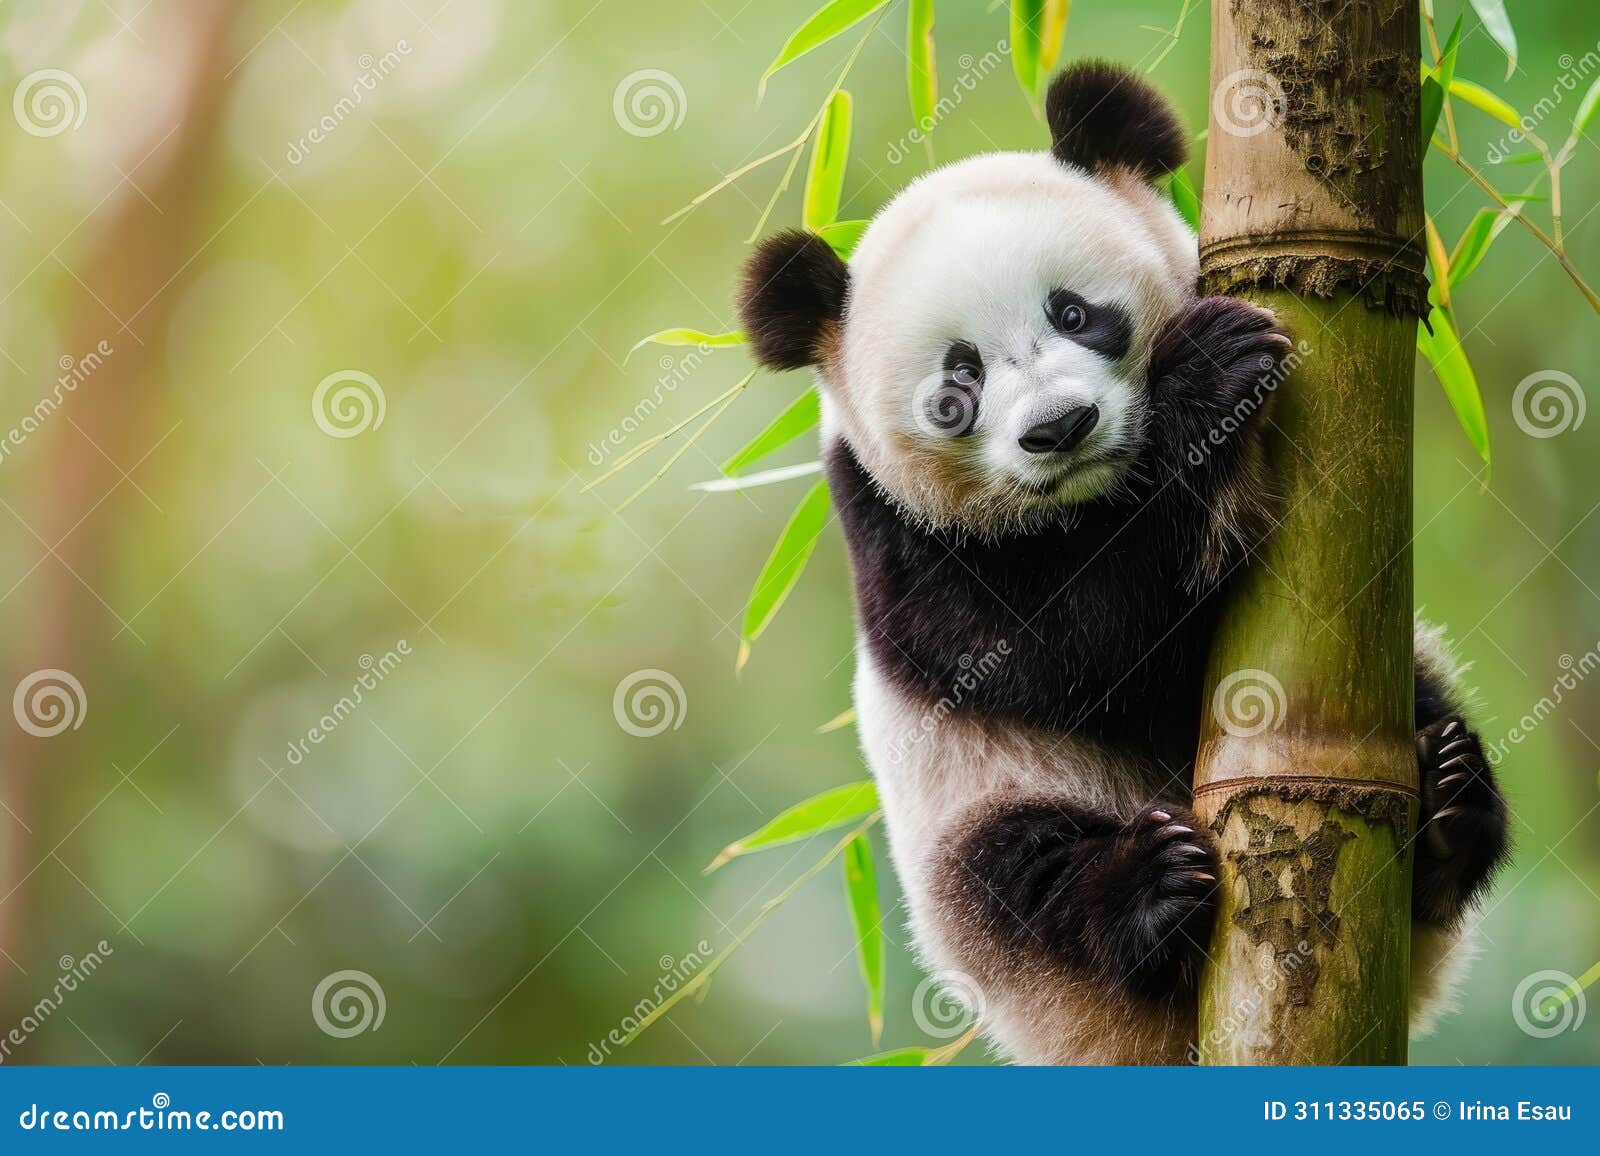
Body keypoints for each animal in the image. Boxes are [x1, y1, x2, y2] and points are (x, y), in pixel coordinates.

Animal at [735, 61, 1510, 1064]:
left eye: (1074, 311)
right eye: (957, 382)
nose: (1060, 428)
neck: (1095, 500)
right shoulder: (894, 537)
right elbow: (1075, 652)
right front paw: (1208, 381)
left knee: (1423, 706)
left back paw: (1450, 809)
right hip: (973, 825)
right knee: (1017, 882)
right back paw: (1150, 891)